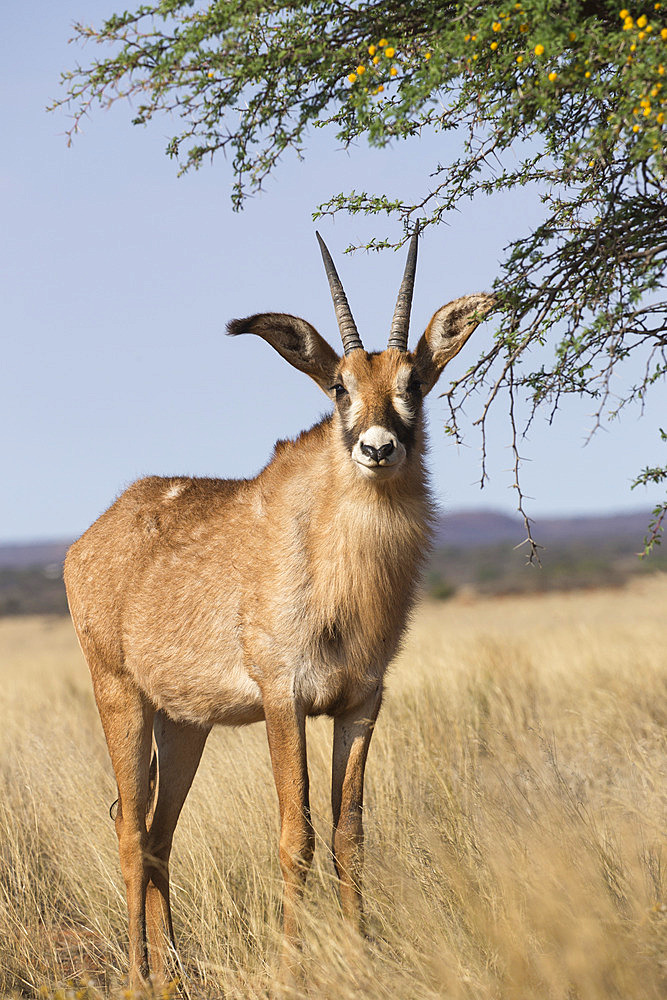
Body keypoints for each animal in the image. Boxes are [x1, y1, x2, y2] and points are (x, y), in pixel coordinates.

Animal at [65, 230, 494, 988]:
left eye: (413, 383)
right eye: (339, 385)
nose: (378, 447)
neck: (331, 552)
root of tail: (93, 536)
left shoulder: (361, 702)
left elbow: (349, 833)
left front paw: (361, 957)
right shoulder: (282, 697)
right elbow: (296, 835)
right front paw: (295, 969)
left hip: (184, 723)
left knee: (157, 832)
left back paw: (173, 976)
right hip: (119, 696)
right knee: (128, 829)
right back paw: (139, 976)